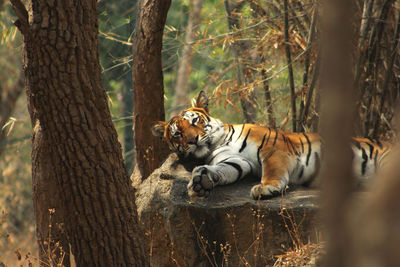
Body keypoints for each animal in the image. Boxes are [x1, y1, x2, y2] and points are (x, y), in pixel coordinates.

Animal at [151, 91, 390, 200]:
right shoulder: (236, 161)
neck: (218, 143)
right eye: (178, 134)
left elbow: (272, 170)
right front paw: (201, 181)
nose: (193, 140)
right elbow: (222, 170)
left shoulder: (273, 149)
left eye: (195, 121)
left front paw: (266, 187)